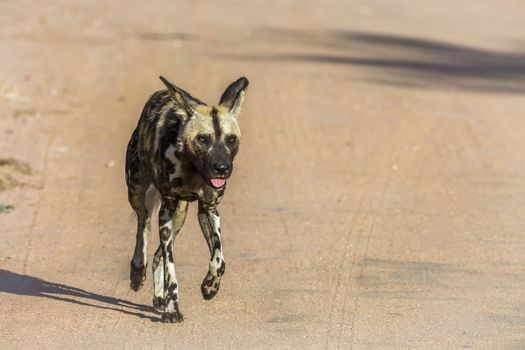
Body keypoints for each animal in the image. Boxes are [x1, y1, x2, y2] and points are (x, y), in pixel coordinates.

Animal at [127, 76, 250, 322]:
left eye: (231, 139)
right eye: (202, 139)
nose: (222, 168)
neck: (193, 169)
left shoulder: (208, 209)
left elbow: (219, 259)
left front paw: (210, 286)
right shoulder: (166, 209)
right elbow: (171, 270)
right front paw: (173, 309)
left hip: (179, 218)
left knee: (157, 255)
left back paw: (158, 297)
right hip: (137, 192)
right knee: (143, 223)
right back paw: (137, 270)